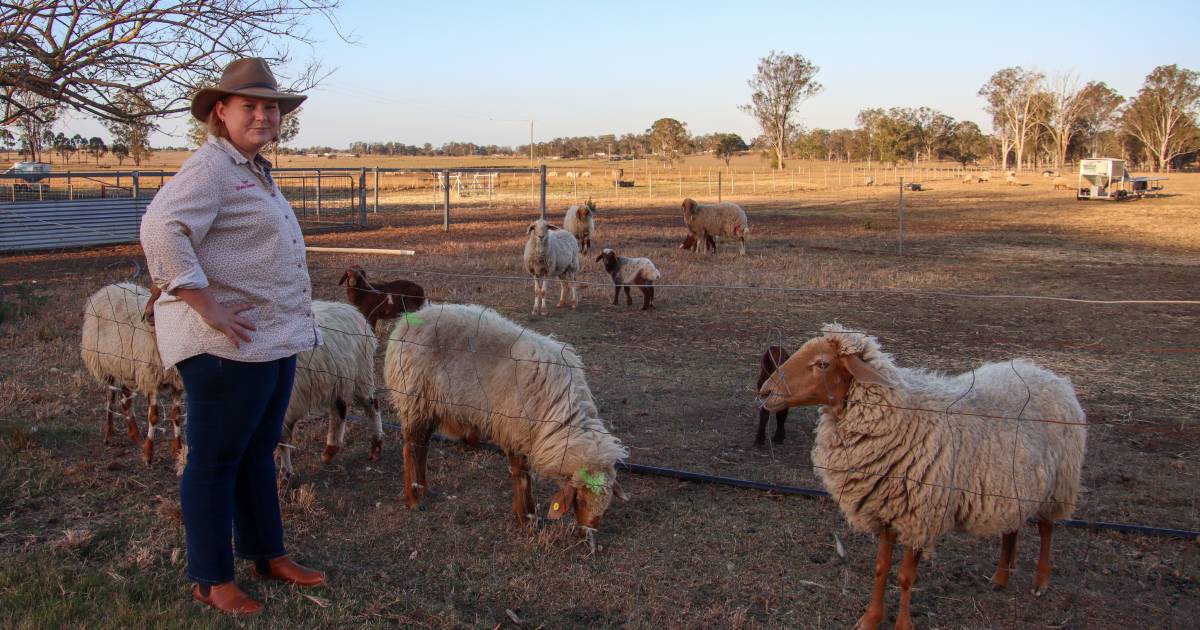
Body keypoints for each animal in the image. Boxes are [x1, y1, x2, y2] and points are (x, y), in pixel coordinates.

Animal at [79, 282, 183, 463]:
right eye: (153, 288)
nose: (146, 315)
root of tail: (108, 288)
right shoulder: (150, 378)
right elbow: (153, 416)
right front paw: (148, 453)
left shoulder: (177, 382)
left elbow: (176, 416)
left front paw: (178, 450)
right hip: (107, 363)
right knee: (110, 397)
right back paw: (108, 434)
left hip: (125, 367)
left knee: (125, 397)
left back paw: (134, 434)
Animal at [274, 300, 379, 482]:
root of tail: (354, 312)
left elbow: (282, 439)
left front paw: (285, 474)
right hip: (337, 379)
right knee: (340, 410)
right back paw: (330, 450)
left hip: (360, 375)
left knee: (372, 405)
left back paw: (376, 446)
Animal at [386, 302, 633, 547]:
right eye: (580, 500)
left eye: (606, 505)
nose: (587, 538)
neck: (559, 410)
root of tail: (406, 322)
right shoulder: (515, 430)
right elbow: (521, 475)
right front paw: (525, 518)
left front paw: (530, 515)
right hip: (414, 399)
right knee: (411, 448)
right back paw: (414, 498)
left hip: (429, 406)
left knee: (422, 447)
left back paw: (423, 489)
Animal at [758, 324, 1089, 628]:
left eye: (823, 363)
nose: (765, 392)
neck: (900, 416)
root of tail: (1046, 373)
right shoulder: (885, 509)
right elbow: (881, 568)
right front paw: (871, 619)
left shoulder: (920, 514)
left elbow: (906, 576)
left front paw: (903, 624)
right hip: (1015, 483)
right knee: (1012, 527)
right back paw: (999, 577)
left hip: (1059, 484)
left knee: (1046, 529)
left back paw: (1041, 581)